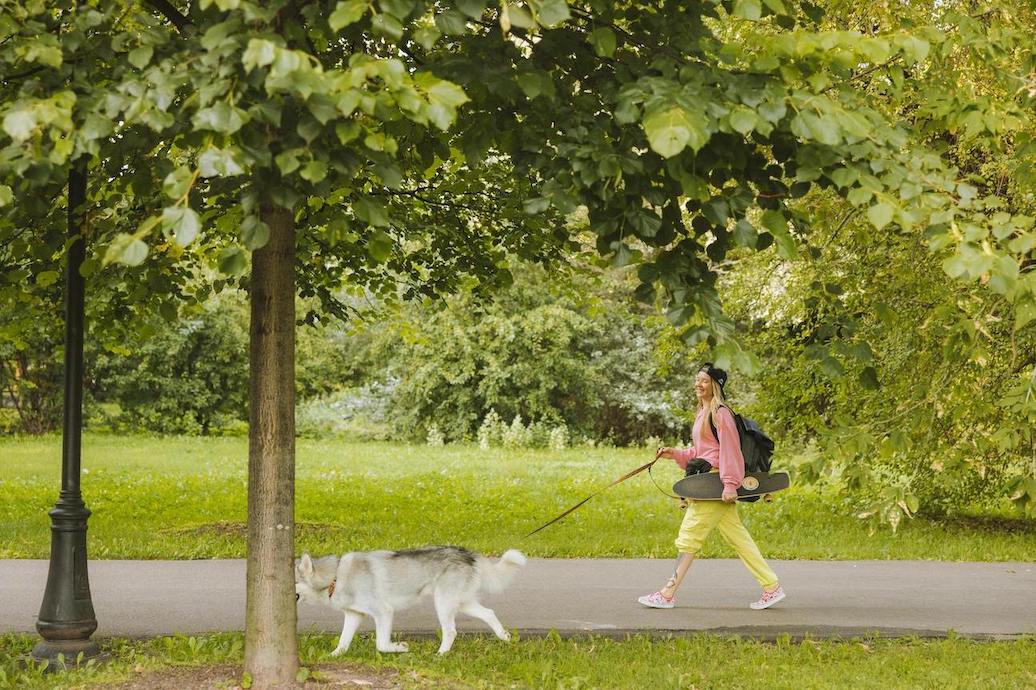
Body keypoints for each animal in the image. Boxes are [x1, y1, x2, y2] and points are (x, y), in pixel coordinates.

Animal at [298, 547, 526, 654]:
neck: (336, 577)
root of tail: (466, 553)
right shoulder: (354, 615)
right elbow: (343, 642)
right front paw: (333, 656)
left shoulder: (383, 612)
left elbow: (382, 644)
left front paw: (400, 647)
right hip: (462, 603)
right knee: (489, 613)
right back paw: (506, 638)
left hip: (443, 603)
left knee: (451, 631)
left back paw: (440, 655)